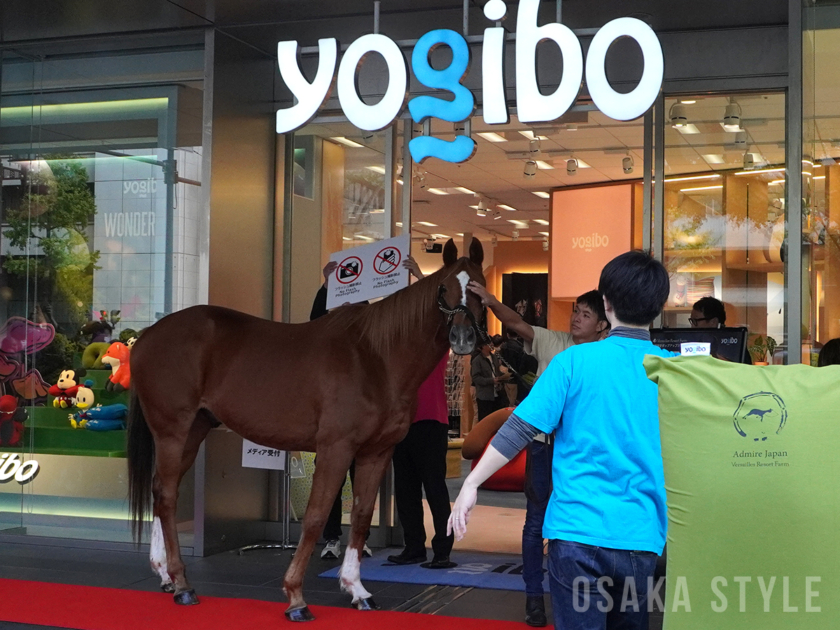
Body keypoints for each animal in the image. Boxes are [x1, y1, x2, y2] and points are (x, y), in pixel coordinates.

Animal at [128, 237, 488, 624]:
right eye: (444, 288)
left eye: (479, 287)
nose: (463, 337)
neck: (375, 358)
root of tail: (148, 335)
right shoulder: (335, 448)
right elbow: (315, 517)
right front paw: (296, 597)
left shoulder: (377, 452)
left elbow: (361, 516)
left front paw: (357, 589)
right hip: (172, 431)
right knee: (166, 495)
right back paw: (182, 584)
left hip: (194, 431)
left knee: (160, 491)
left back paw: (166, 575)